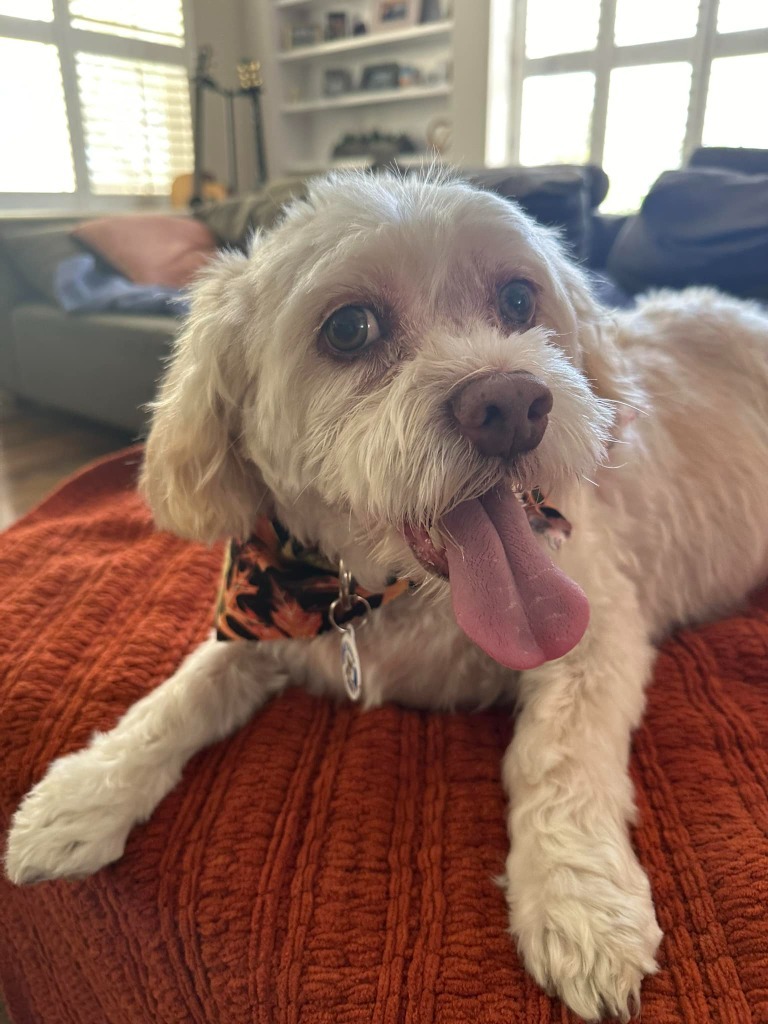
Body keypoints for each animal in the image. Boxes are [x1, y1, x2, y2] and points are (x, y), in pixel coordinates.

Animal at [6, 172, 768, 1019]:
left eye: (517, 299)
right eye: (349, 328)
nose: (511, 404)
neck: (391, 592)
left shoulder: (593, 637)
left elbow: (559, 759)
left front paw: (578, 901)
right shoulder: (256, 623)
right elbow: (176, 697)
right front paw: (85, 795)